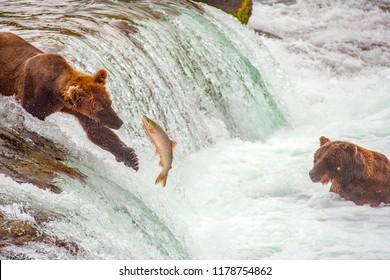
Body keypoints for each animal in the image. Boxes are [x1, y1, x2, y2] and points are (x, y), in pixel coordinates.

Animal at [0, 32, 139, 171]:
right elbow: (31, 114)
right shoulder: (35, 92)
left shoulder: (74, 108)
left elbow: (96, 131)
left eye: (110, 102)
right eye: (100, 110)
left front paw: (131, 157)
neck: (56, 89)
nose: (119, 123)